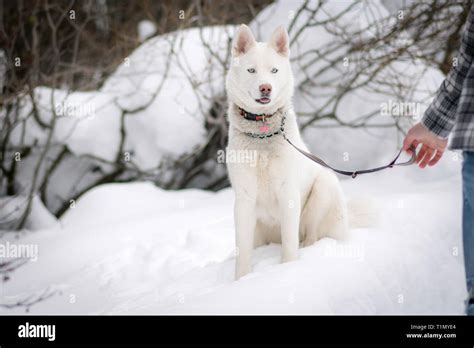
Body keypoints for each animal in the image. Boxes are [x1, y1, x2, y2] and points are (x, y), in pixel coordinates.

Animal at [226, 24, 352, 280]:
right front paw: (241, 281)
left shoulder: (288, 193)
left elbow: (290, 244)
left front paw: (288, 269)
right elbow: (242, 250)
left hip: (323, 188)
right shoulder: (244, 199)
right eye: (251, 70)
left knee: (310, 236)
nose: (266, 87)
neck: (262, 133)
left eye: (274, 70)